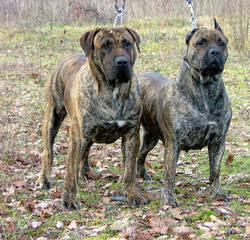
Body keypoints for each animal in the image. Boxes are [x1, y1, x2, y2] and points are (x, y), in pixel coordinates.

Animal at [37, 27, 146, 209]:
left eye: (127, 43)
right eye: (106, 45)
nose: (122, 62)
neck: (112, 91)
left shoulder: (131, 134)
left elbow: (130, 169)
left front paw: (132, 194)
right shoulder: (77, 135)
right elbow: (70, 169)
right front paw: (69, 199)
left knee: (85, 152)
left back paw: (86, 172)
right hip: (53, 117)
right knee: (48, 151)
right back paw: (43, 179)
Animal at [137, 19, 232, 206]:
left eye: (221, 43)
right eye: (201, 42)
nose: (215, 52)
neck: (205, 86)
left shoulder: (218, 141)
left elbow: (215, 171)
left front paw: (217, 192)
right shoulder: (174, 142)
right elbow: (169, 174)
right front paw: (168, 199)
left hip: (151, 137)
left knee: (141, 155)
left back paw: (142, 175)